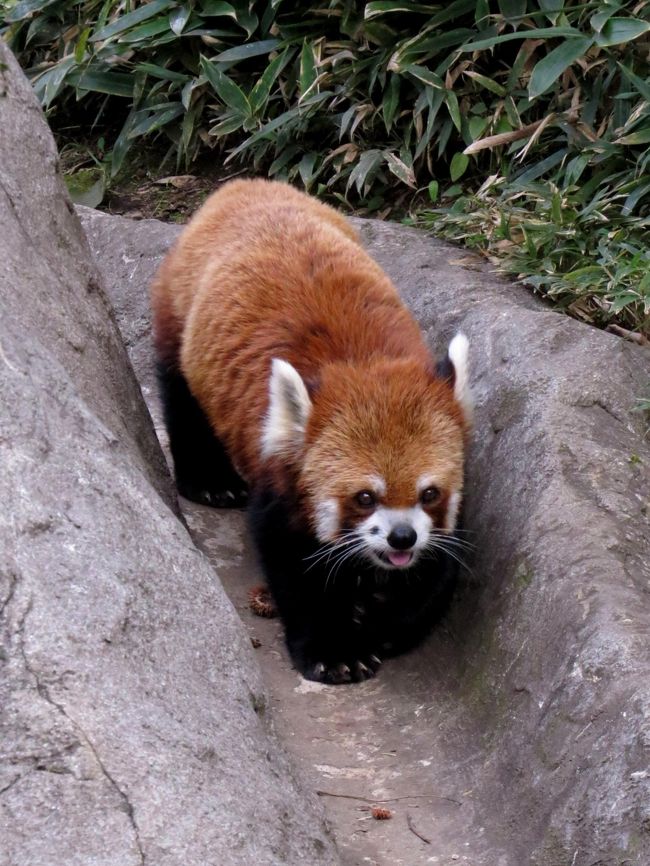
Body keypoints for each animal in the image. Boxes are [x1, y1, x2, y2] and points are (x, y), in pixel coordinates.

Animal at [149, 181, 468, 680]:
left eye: (429, 493)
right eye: (364, 497)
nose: (402, 538)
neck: (362, 366)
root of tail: (244, 186)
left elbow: (435, 571)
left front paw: (385, 623)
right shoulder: (280, 468)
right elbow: (293, 564)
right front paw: (335, 651)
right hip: (180, 313)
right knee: (180, 395)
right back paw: (209, 480)